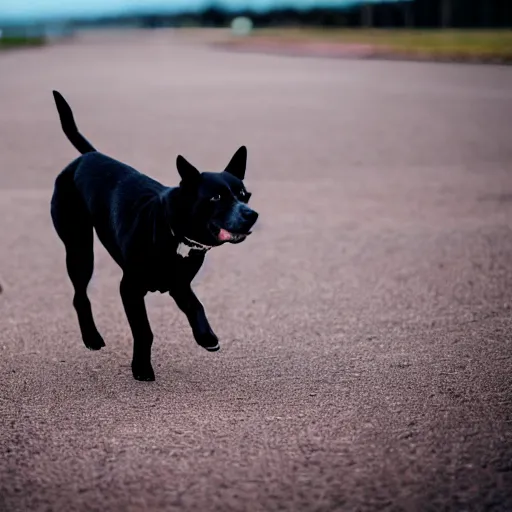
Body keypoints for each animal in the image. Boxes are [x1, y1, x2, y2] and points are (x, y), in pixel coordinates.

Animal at [50, 91, 258, 380]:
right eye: (216, 197)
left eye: (244, 195)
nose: (251, 214)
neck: (176, 235)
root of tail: (87, 157)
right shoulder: (129, 288)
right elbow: (144, 331)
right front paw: (141, 368)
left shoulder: (180, 284)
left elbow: (197, 306)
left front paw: (206, 337)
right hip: (80, 250)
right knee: (79, 295)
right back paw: (91, 337)